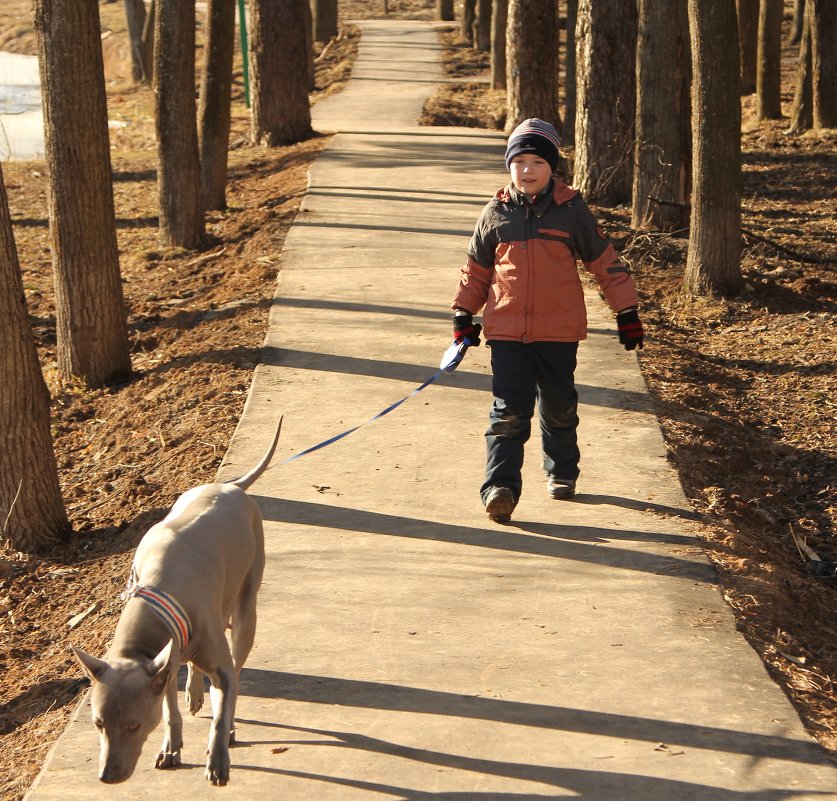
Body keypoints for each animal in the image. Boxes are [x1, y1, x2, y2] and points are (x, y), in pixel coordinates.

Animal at [72, 416, 280, 784]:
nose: (107, 776)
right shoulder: (163, 661)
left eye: (134, 725)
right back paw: (194, 692)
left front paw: (218, 759)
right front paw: (171, 748)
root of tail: (232, 487)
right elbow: (169, 706)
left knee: (238, 659)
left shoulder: (208, 660)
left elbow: (223, 700)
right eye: (98, 723)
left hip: (247, 597)